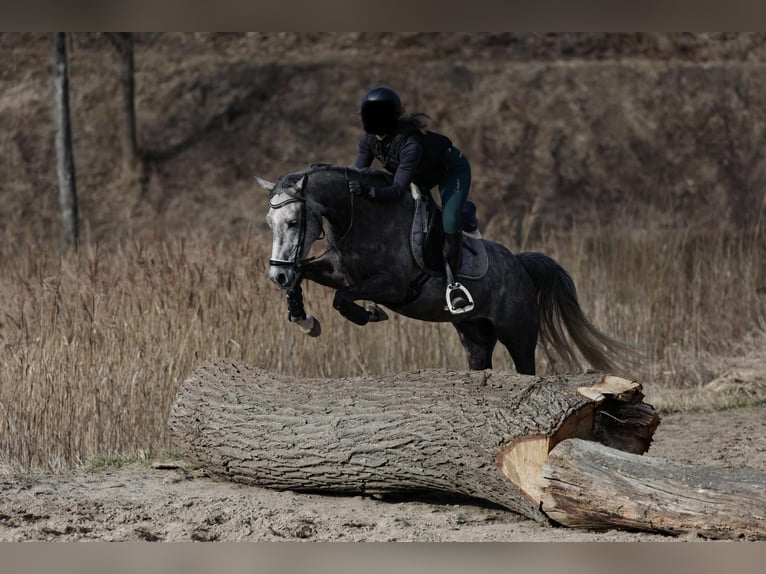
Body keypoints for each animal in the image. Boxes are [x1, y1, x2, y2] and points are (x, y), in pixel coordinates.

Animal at [257, 164, 638, 375]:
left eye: (293, 222)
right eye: (269, 223)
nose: (276, 276)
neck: (359, 218)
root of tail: (519, 263)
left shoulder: (393, 285)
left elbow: (342, 299)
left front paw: (370, 314)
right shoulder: (337, 272)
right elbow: (307, 276)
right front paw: (304, 319)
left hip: (518, 333)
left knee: (526, 368)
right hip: (474, 335)